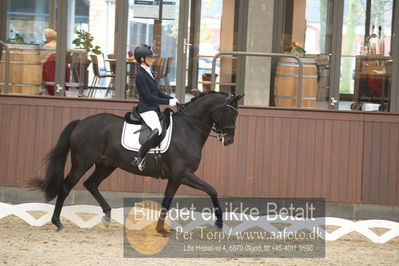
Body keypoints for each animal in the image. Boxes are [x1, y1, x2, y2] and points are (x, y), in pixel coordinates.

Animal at [30, 91, 244, 235]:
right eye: (232, 114)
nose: (229, 140)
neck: (188, 129)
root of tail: (81, 122)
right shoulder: (183, 175)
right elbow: (212, 190)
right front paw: (219, 223)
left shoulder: (175, 179)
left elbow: (167, 201)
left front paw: (160, 229)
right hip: (82, 163)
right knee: (66, 186)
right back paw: (58, 223)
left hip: (107, 164)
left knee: (91, 183)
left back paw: (107, 215)